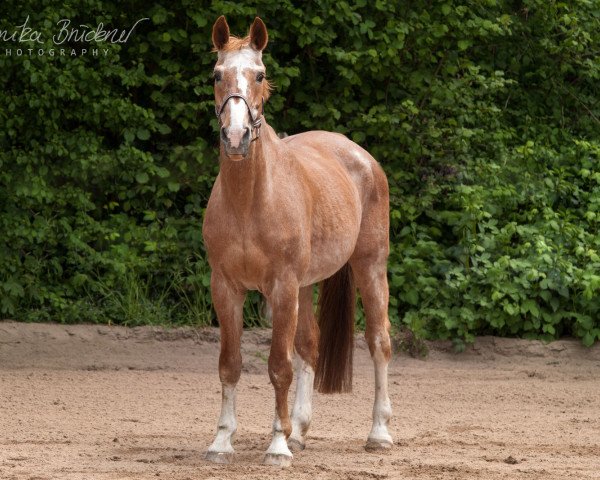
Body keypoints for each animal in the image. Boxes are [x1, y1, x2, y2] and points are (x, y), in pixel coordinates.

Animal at [203, 16, 394, 466]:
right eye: (217, 75)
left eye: (260, 74)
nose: (235, 137)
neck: (250, 202)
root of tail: (360, 156)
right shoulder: (226, 287)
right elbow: (230, 364)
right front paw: (222, 441)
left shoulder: (282, 287)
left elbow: (279, 366)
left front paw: (277, 445)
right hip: (308, 285)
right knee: (310, 345)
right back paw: (301, 431)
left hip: (369, 266)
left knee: (379, 341)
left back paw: (378, 433)